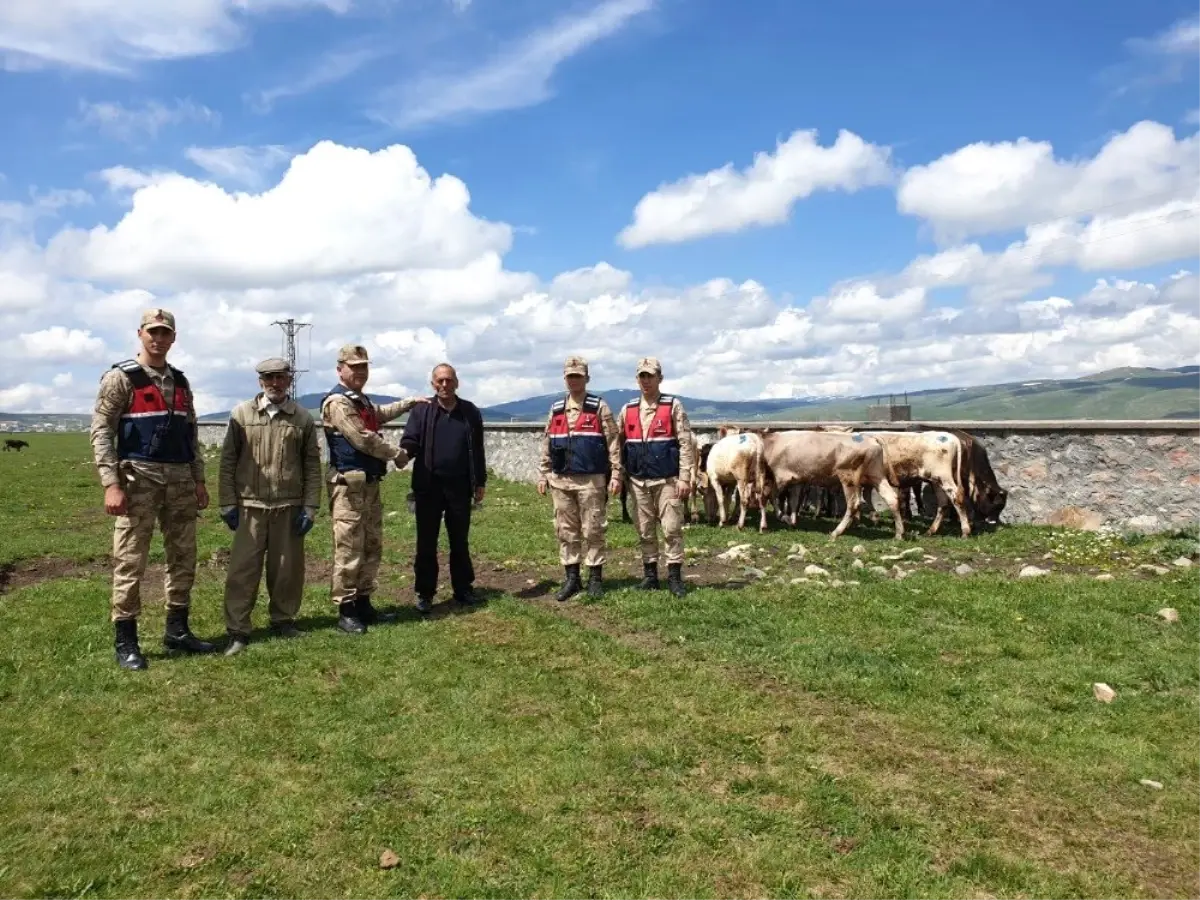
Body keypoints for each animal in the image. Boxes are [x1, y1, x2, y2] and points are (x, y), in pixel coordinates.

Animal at [758, 432, 902, 542]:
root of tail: (870, 438)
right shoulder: (796, 479)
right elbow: (793, 500)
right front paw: (792, 521)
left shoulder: (779, 478)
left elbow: (771, 497)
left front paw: (782, 517)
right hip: (876, 475)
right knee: (891, 498)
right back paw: (899, 534)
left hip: (848, 476)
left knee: (854, 504)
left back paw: (836, 532)